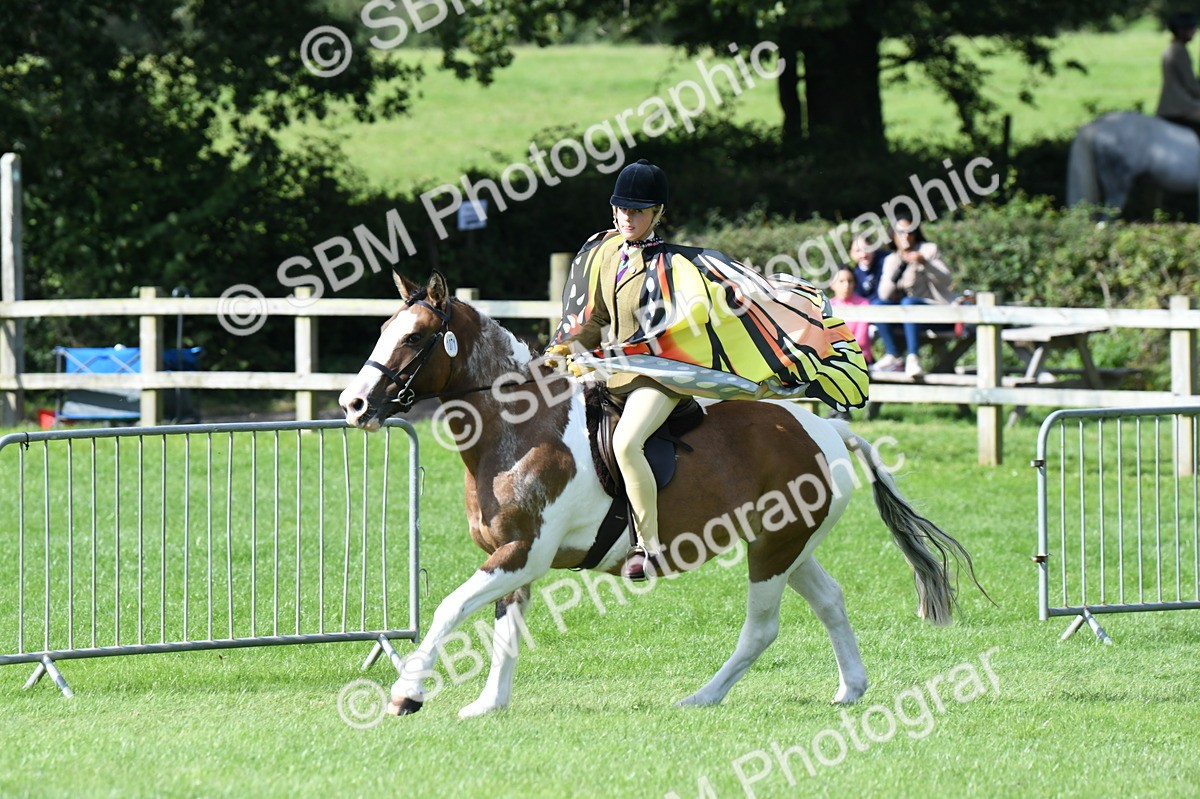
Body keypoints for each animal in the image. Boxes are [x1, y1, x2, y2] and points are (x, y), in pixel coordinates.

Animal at [338, 270, 984, 718]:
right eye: (382, 330)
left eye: (415, 336)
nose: (353, 404)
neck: (520, 426)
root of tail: (825, 429)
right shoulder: (514, 557)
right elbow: (505, 629)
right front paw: (488, 705)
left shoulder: (523, 553)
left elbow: (451, 608)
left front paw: (406, 694)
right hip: (787, 545)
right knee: (829, 599)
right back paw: (850, 689)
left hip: (773, 550)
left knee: (762, 627)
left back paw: (703, 697)